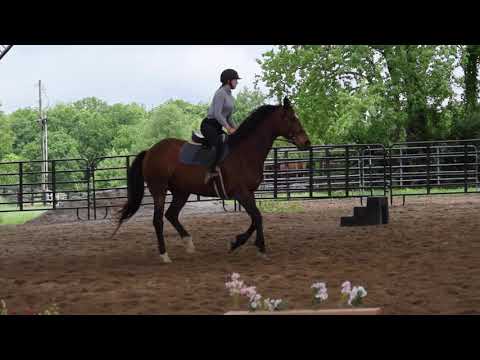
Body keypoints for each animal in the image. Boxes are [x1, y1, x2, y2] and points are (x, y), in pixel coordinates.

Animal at [112, 97, 312, 262]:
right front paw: (260, 248)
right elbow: (257, 217)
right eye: (292, 118)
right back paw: (164, 255)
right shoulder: (241, 193)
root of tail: (150, 151)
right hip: (159, 190)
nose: (306, 142)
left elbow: (255, 219)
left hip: (181, 192)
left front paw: (237, 242)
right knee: (158, 220)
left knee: (171, 215)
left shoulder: (249, 193)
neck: (245, 153)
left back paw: (189, 244)